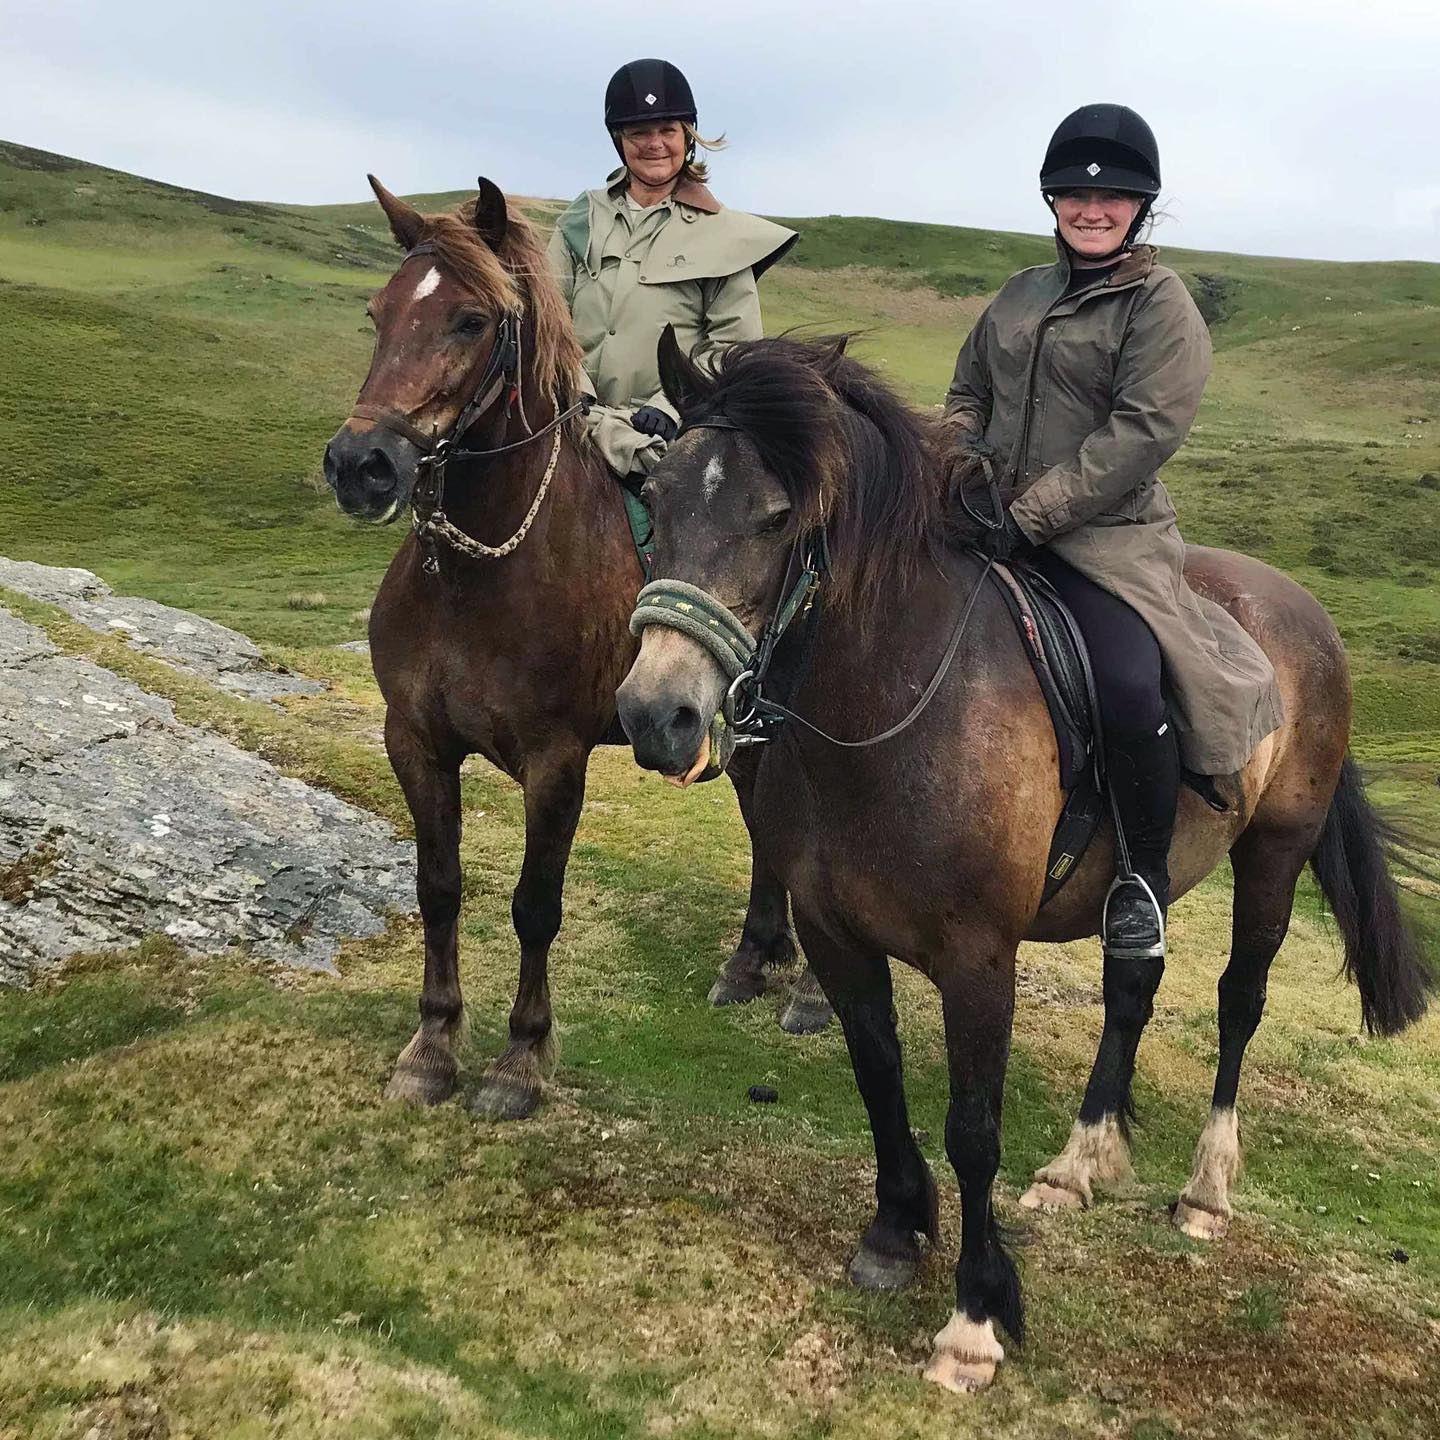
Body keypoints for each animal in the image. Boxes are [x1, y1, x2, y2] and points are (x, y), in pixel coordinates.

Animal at [321, 178, 801, 1118]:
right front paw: (432, 1047)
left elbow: (534, 906)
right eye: (377, 312)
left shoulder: (556, 761)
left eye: (470, 320)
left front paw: (519, 1061)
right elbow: (439, 889)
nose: (362, 465)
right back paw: (755, 959)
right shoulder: (415, 743)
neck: (478, 576)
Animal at [616, 328, 1432, 1392]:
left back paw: (1205, 1190)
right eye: (659, 496)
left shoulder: (978, 957)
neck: (887, 704)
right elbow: (877, 1072)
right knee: (1132, 989)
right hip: (1145, 883)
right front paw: (894, 1230)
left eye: (777, 515)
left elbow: (972, 1127)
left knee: (1239, 1001)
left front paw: (976, 1315)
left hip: (1274, 855)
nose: (654, 715)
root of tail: (1303, 611)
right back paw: (1080, 1164)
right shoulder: (834, 935)